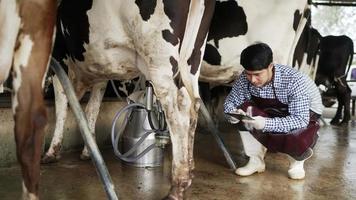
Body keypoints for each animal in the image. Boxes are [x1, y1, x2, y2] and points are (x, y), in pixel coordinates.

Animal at [42, 0, 216, 199]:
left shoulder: (58, 55)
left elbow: (62, 104)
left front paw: (51, 151)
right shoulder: (100, 72)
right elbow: (92, 109)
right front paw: (87, 150)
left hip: (159, 60)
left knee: (177, 113)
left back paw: (178, 185)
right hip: (192, 58)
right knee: (192, 103)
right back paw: (190, 166)